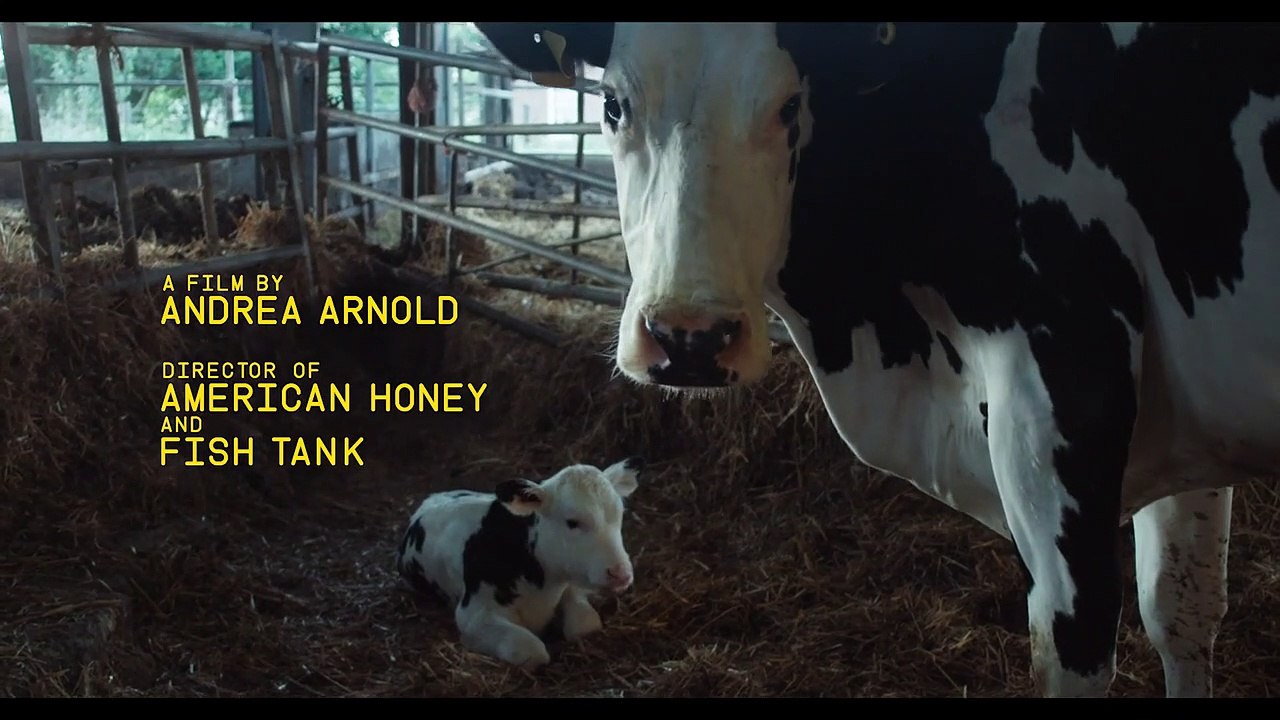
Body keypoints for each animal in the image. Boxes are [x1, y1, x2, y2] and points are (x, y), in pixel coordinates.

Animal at [395, 457, 643, 667]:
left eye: (619, 514)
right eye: (572, 522)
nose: (621, 573)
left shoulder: (570, 584)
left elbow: (586, 624)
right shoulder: (473, 615)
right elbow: (531, 650)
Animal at [474, 22, 1280, 697]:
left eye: (791, 105)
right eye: (612, 103)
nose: (690, 338)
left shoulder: (1064, 382)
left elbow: (1073, 641)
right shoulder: (1184, 420)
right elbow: (1182, 609)